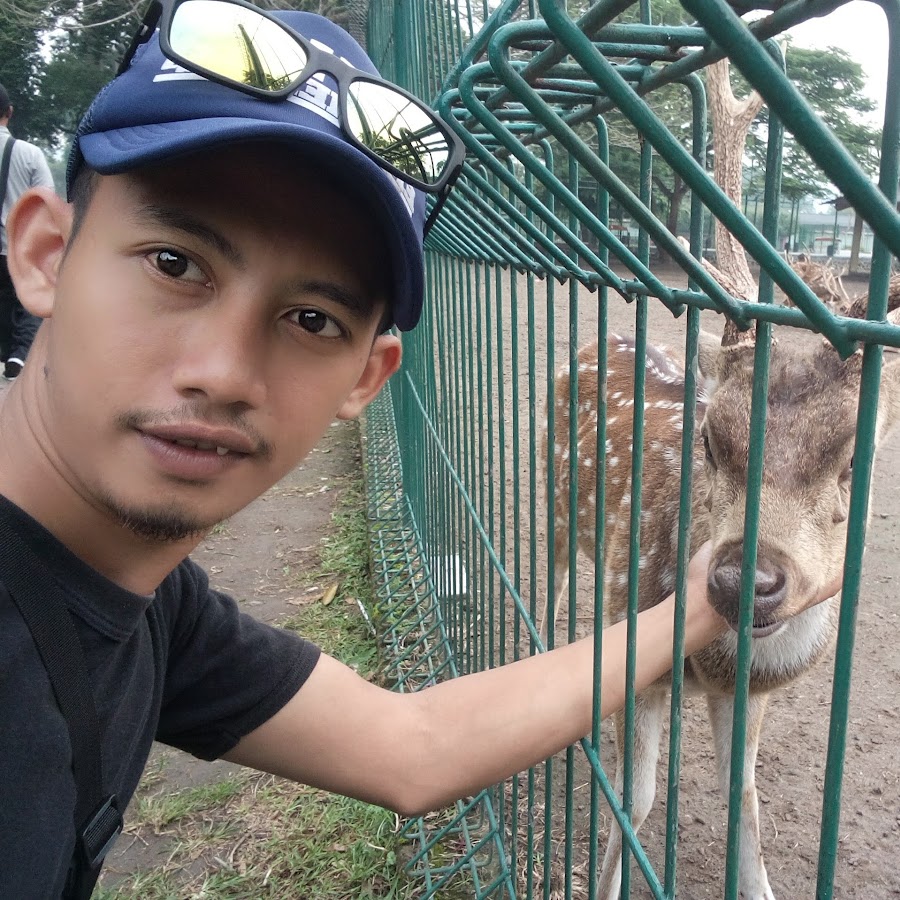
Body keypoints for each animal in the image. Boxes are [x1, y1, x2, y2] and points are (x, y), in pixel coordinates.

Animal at [541, 285, 900, 900]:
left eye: (857, 457)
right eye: (709, 440)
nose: (744, 580)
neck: (712, 663)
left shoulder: (749, 692)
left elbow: (744, 800)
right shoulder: (636, 650)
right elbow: (634, 801)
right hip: (554, 499)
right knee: (552, 587)